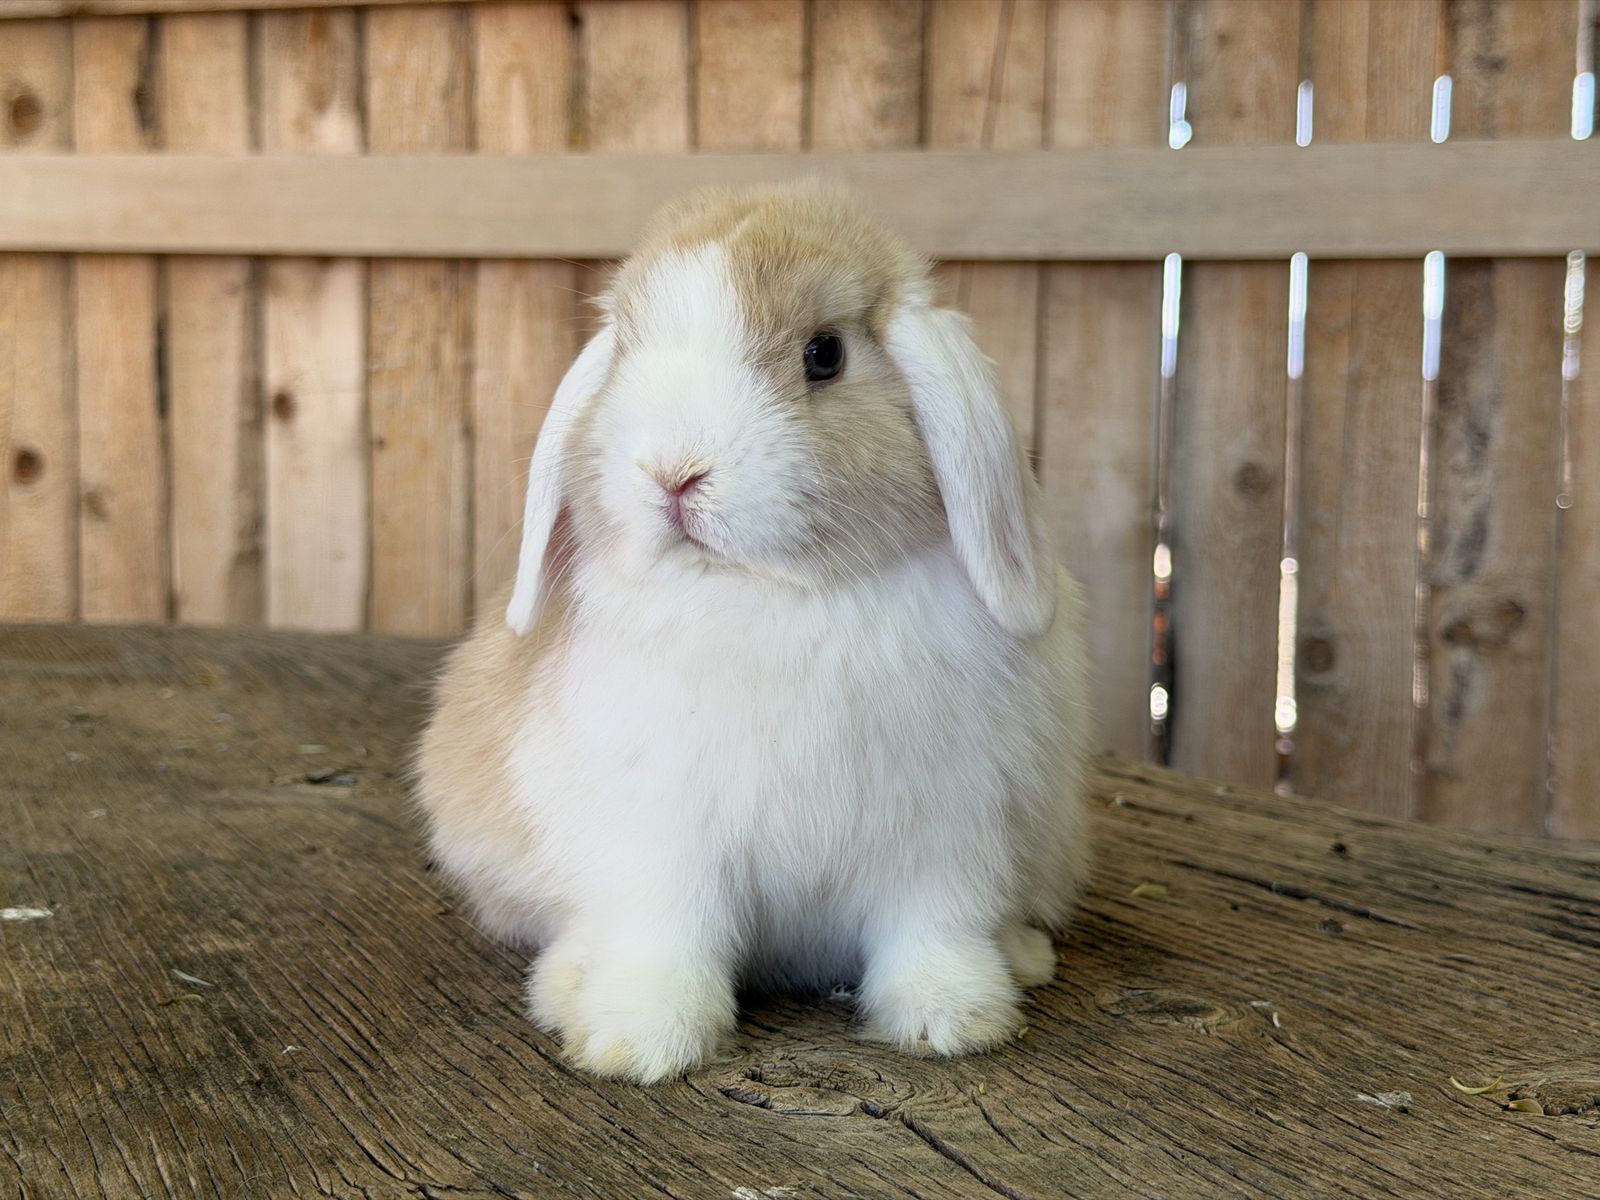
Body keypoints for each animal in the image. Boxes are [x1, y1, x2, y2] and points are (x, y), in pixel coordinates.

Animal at [416, 182, 1090, 1084]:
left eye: (824, 354)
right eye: (628, 347)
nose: (674, 471)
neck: (776, 596)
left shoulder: (944, 836)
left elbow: (933, 930)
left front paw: (952, 1018)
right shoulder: (663, 843)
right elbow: (667, 935)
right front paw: (640, 1041)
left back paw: (1021, 957)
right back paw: (571, 983)